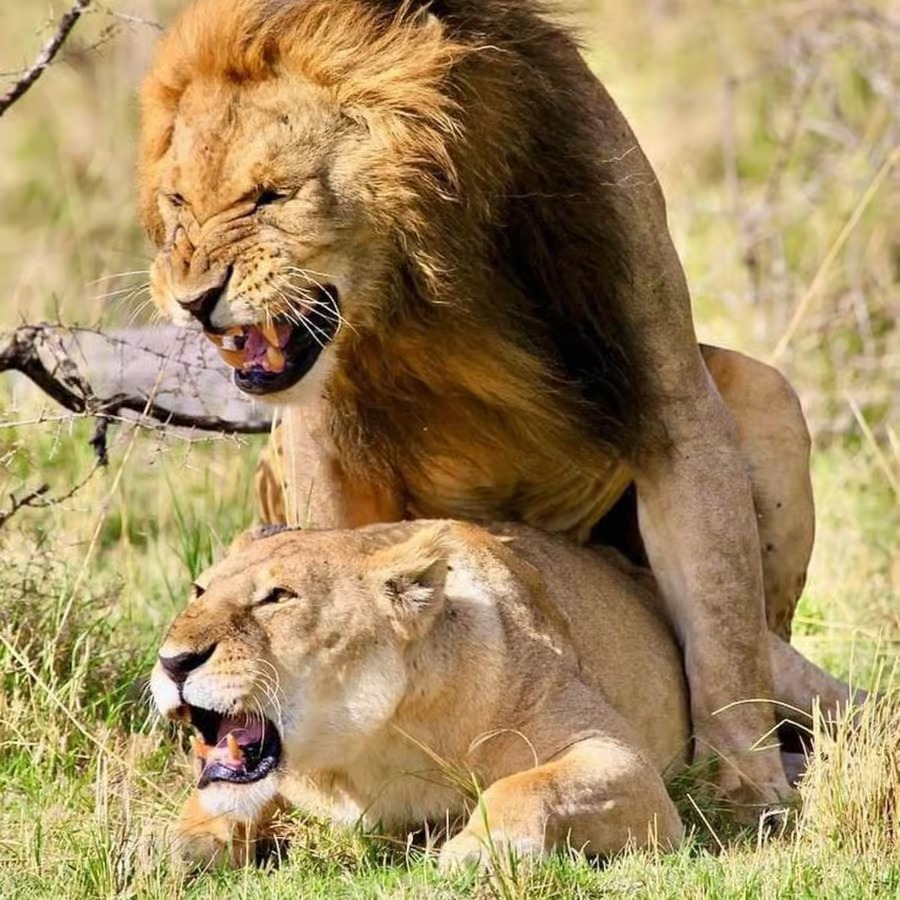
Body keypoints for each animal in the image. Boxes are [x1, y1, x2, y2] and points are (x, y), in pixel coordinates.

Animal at [141, 0, 803, 806]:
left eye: (272, 195)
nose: (192, 301)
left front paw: (746, 789)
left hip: (768, 394)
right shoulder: (321, 438)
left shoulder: (673, 400)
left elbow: (722, 620)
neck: (419, 278)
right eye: (179, 202)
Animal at [151, 522, 856, 870]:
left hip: (779, 673)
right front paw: (170, 852)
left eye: (278, 597)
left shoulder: (620, 762)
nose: (172, 662)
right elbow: (208, 810)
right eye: (198, 589)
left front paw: (476, 852)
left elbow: (522, 786)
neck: (370, 746)